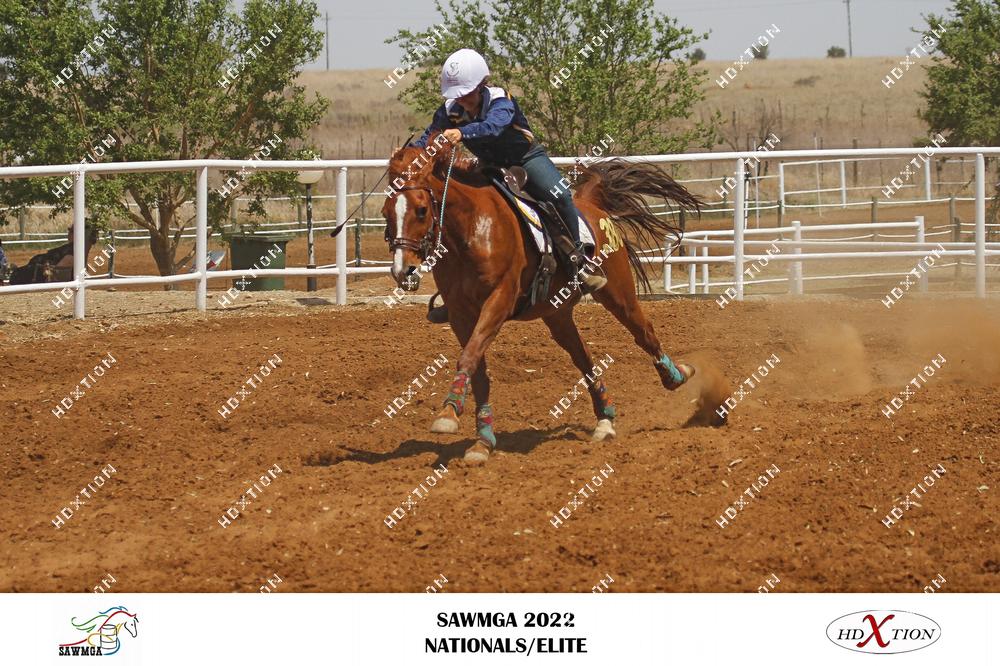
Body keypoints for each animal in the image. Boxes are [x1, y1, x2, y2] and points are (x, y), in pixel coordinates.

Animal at [382, 136, 725, 463]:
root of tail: (590, 204)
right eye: (386, 212)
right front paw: (478, 436)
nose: (403, 270)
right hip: (557, 315)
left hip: (618, 294)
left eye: (421, 209)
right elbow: (476, 366)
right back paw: (605, 420)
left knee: (644, 332)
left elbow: (468, 357)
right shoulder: (459, 314)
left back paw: (676, 375)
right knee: (584, 358)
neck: (470, 229)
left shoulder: (499, 300)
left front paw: (449, 415)